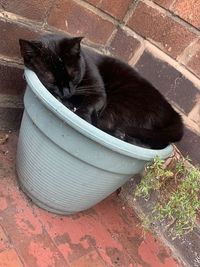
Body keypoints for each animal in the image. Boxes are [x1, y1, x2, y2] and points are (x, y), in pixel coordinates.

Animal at [19, 34, 184, 150]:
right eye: (51, 80)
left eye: (73, 76)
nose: (66, 92)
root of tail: (174, 115)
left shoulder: (98, 92)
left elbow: (88, 107)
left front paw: (81, 117)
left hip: (119, 104)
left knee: (104, 126)